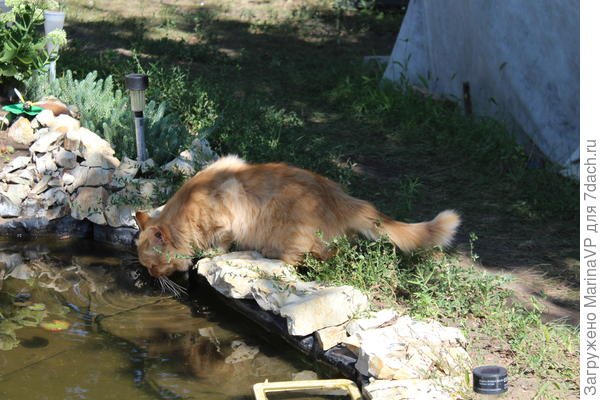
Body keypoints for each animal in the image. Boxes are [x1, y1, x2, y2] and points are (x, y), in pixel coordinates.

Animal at [135, 155, 460, 276]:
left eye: (154, 265)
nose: (150, 276)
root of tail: (340, 196)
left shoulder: (228, 209)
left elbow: (222, 242)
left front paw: (212, 253)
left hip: (291, 233)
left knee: (309, 258)